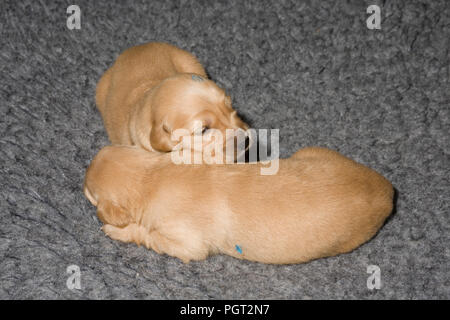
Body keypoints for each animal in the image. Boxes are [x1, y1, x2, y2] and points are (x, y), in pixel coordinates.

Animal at [83, 146, 394, 264]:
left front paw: (115, 230)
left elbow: (145, 234)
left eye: (88, 195)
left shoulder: (186, 244)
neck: (152, 177)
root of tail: (388, 192)